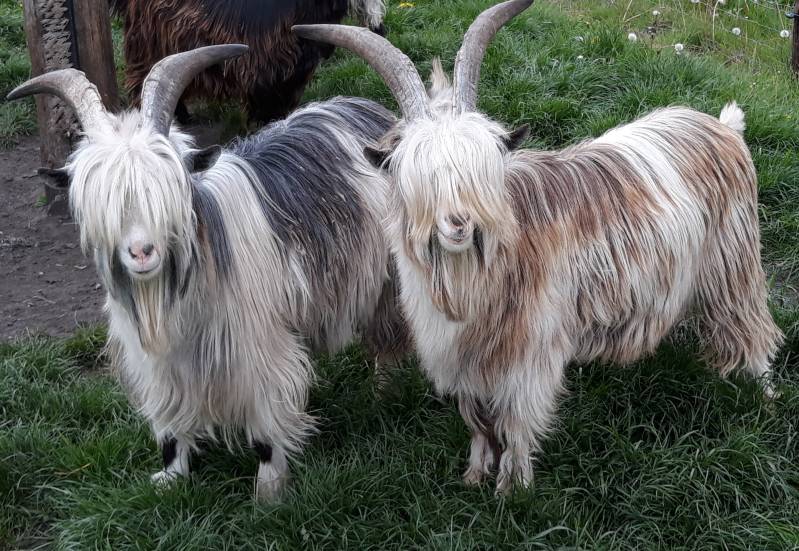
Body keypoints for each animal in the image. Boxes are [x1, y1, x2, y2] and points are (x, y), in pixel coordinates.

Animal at [7, 44, 406, 501]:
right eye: (99, 199)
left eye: (171, 187)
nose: (141, 252)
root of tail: (368, 109)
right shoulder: (158, 361)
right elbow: (170, 422)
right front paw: (171, 476)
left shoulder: (257, 349)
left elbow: (265, 422)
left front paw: (268, 494)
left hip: (389, 282)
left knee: (386, 335)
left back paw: (383, 393)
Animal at [293, 0, 784, 494]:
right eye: (418, 174)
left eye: (485, 167)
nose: (460, 224)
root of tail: (723, 128)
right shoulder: (465, 360)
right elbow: (476, 421)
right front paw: (475, 475)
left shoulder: (529, 356)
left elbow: (516, 423)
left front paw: (513, 490)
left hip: (733, 261)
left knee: (754, 331)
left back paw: (766, 398)